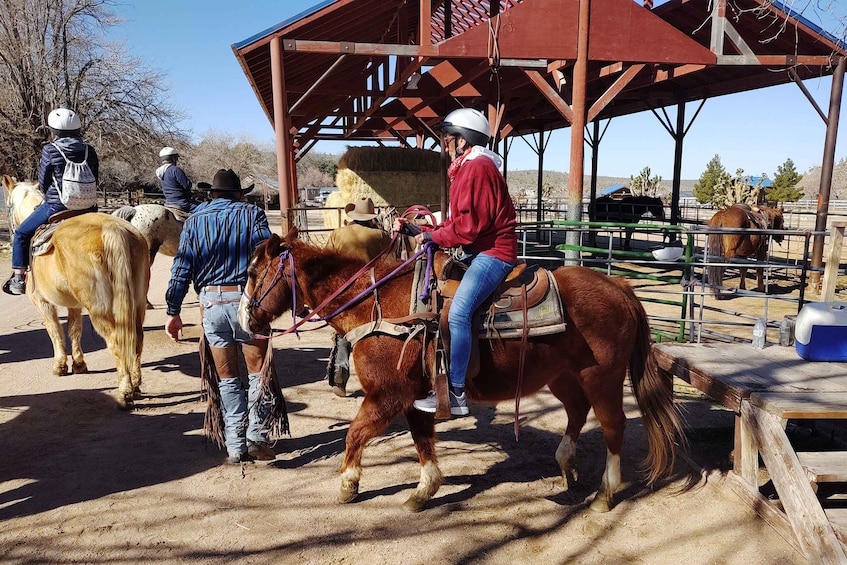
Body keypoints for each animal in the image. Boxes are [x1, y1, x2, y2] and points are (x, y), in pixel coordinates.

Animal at [2, 174, 151, 408]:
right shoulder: (74, 305)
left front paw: (60, 366)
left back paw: (125, 392)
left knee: (116, 341)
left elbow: (55, 330)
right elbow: (74, 329)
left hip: (100, 309)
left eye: (7, 205)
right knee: (137, 339)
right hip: (137, 302)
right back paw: (135, 386)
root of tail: (113, 228)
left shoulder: (43, 303)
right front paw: (79, 364)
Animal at [235, 229, 684, 512]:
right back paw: (567, 464)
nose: (244, 321)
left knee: (612, 426)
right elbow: (421, 440)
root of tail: (620, 288)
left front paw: (348, 484)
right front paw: (424, 490)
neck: (377, 306)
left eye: (254, 273)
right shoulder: (414, 398)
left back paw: (605, 494)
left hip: (602, 377)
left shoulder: (387, 395)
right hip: (562, 376)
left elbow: (355, 434)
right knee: (576, 411)